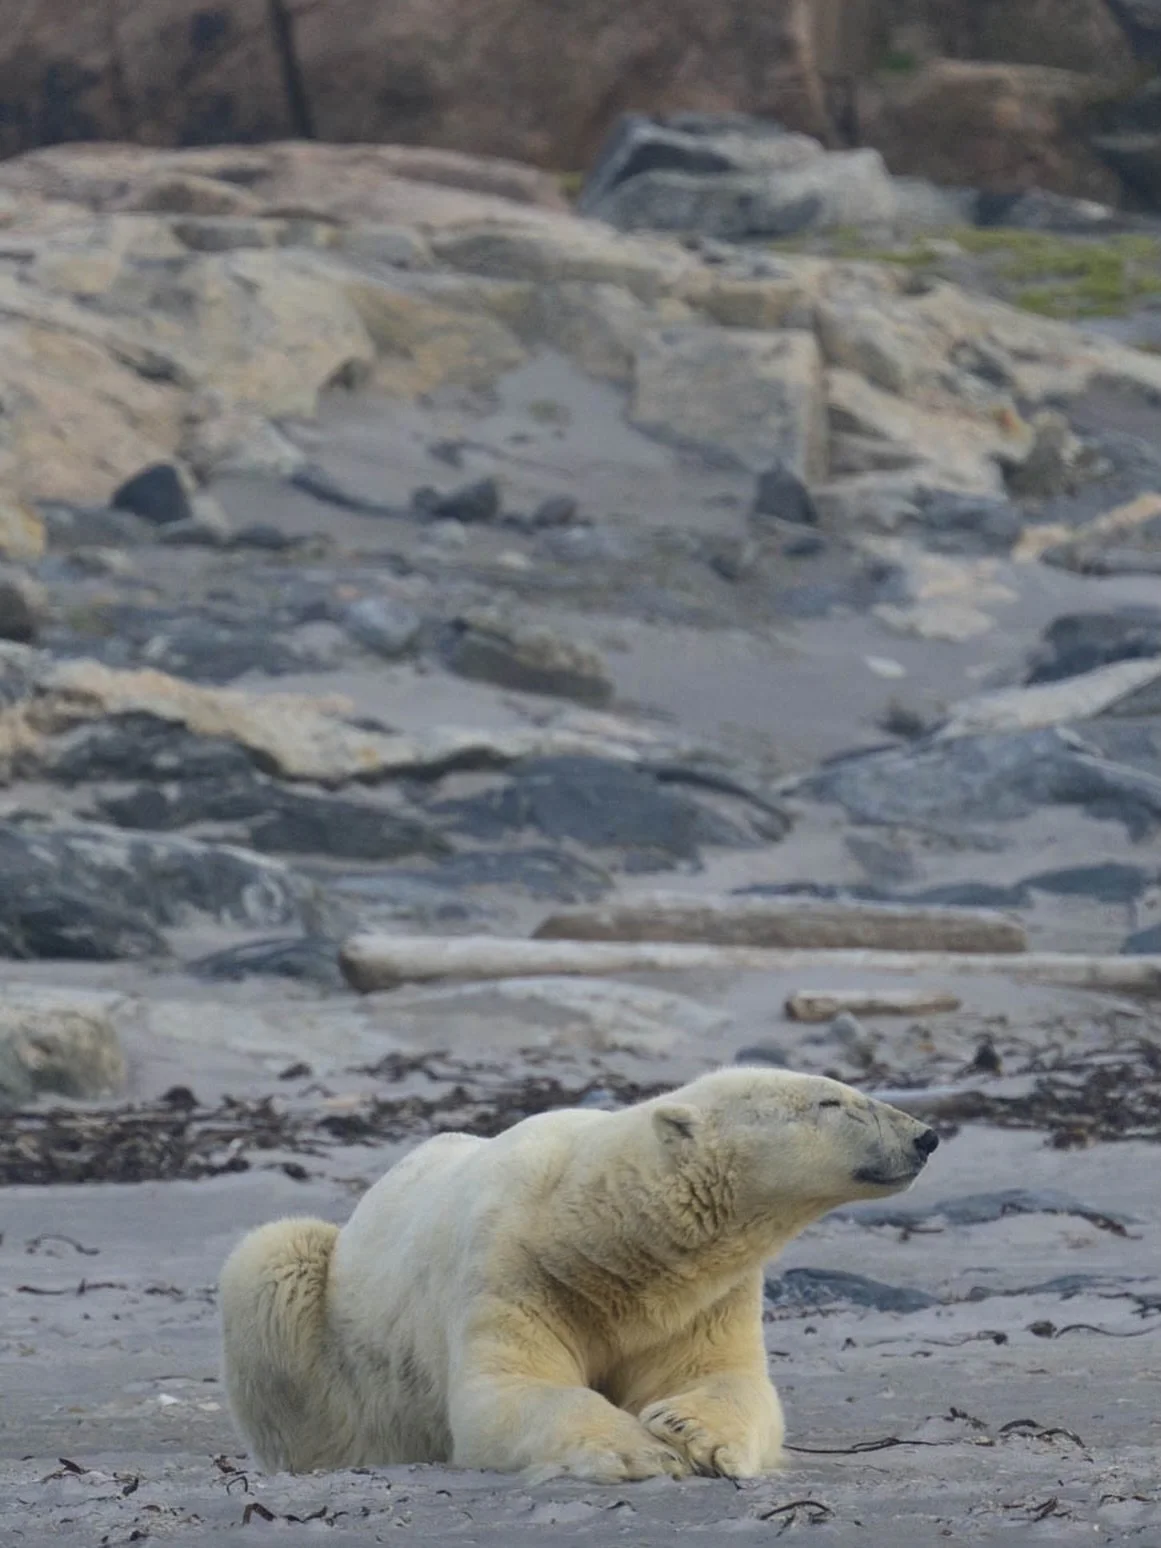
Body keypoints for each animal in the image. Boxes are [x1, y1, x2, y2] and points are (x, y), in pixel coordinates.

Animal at [219, 1067, 939, 1482]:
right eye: (832, 1103)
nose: (925, 1136)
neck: (601, 1233)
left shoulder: (704, 1295)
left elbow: (725, 1379)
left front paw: (692, 1432)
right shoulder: (512, 1267)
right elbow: (512, 1389)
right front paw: (641, 1451)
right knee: (274, 1257)